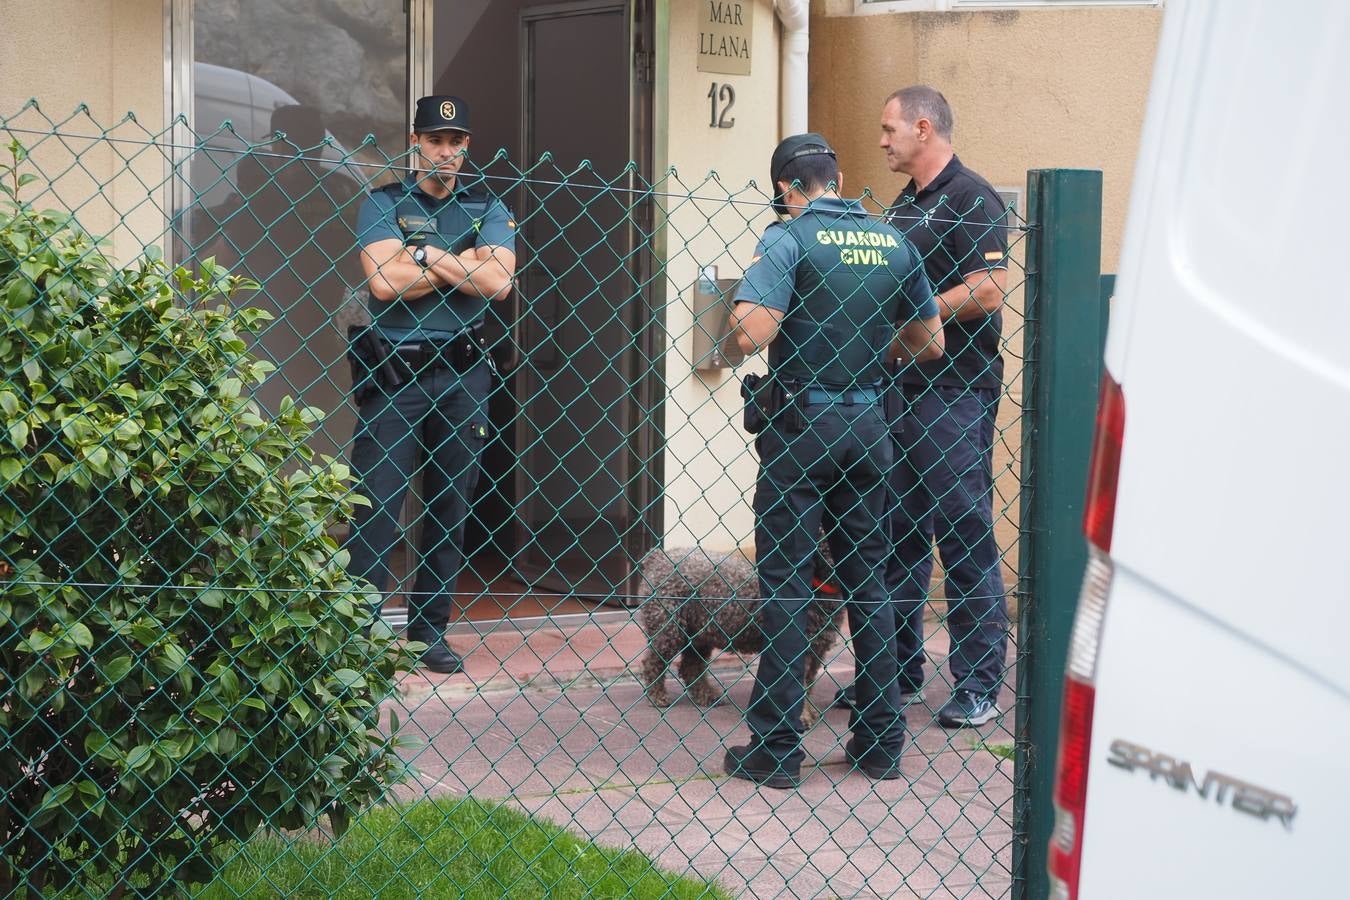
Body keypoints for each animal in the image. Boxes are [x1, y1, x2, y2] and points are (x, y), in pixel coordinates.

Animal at [634, 545, 842, 728]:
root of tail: (657, 558)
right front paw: (802, 717)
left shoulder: (815, 651)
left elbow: (808, 685)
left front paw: (810, 712)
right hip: (669, 629)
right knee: (653, 662)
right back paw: (657, 695)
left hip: (699, 634)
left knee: (691, 667)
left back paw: (707, 695)